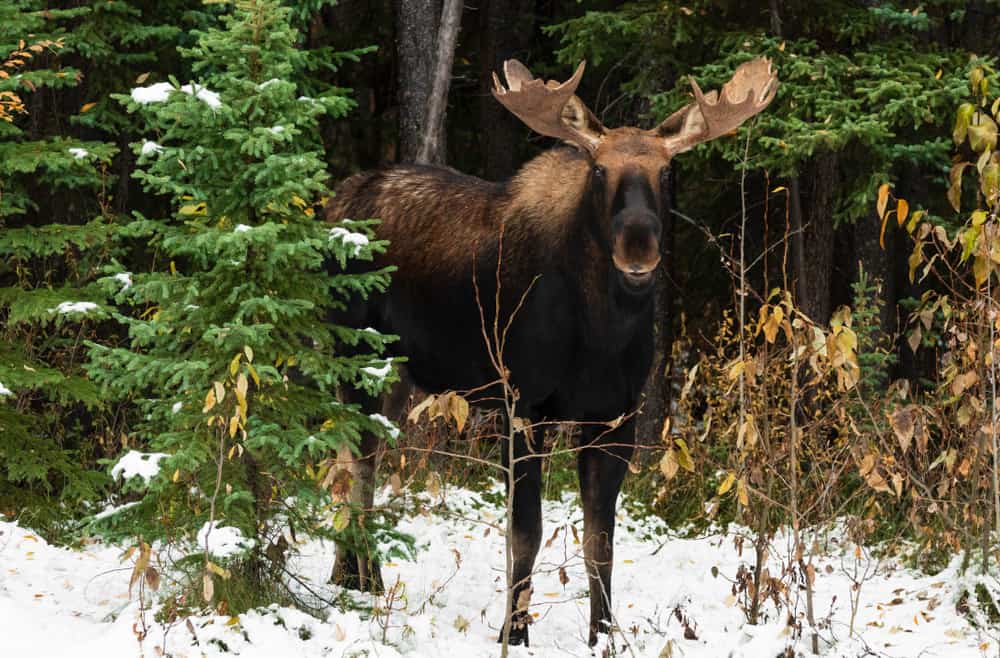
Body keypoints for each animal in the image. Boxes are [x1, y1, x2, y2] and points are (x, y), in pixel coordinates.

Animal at [324, 57, 776, 644]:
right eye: (599, 170)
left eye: (666, 173)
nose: (638, 245)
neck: (602, 335)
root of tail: (334, 202)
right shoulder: (522, 404)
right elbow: (526, 532)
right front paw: (513, 632)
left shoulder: (616, 418)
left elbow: (600, 542)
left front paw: (603, 633)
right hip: (354, 355)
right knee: (354, 465)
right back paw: (360, 579)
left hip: (398, 374)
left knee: (359, 460)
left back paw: (355, 575)